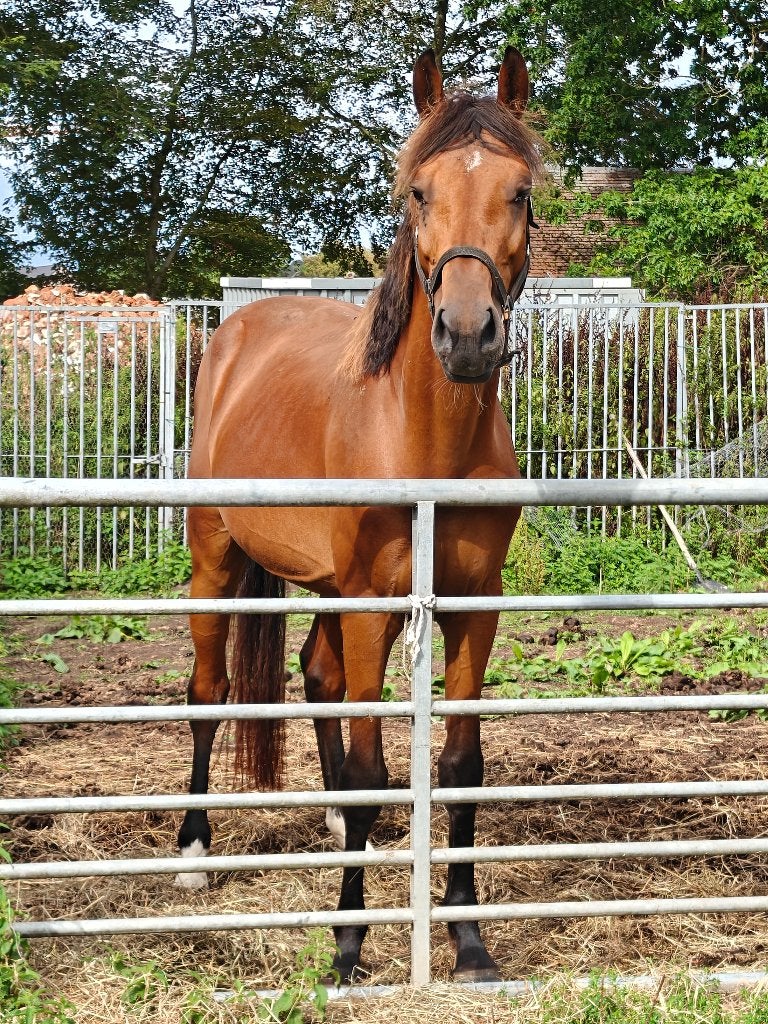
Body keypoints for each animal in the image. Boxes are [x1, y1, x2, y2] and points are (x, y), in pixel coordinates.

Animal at [176, 47, 544, 984]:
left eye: (521, 191)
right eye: (418, 190)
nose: (466, 335)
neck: (420, 437)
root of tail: (238, 330)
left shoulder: (473, 608)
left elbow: (459, 764)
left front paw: (468, 940)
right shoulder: (375, 605)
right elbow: (379, 768)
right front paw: (346, 944)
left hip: (327, 586)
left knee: (317, 678)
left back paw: (340, 826)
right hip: (216, 561)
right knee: (210, 691)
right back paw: (193, 849)